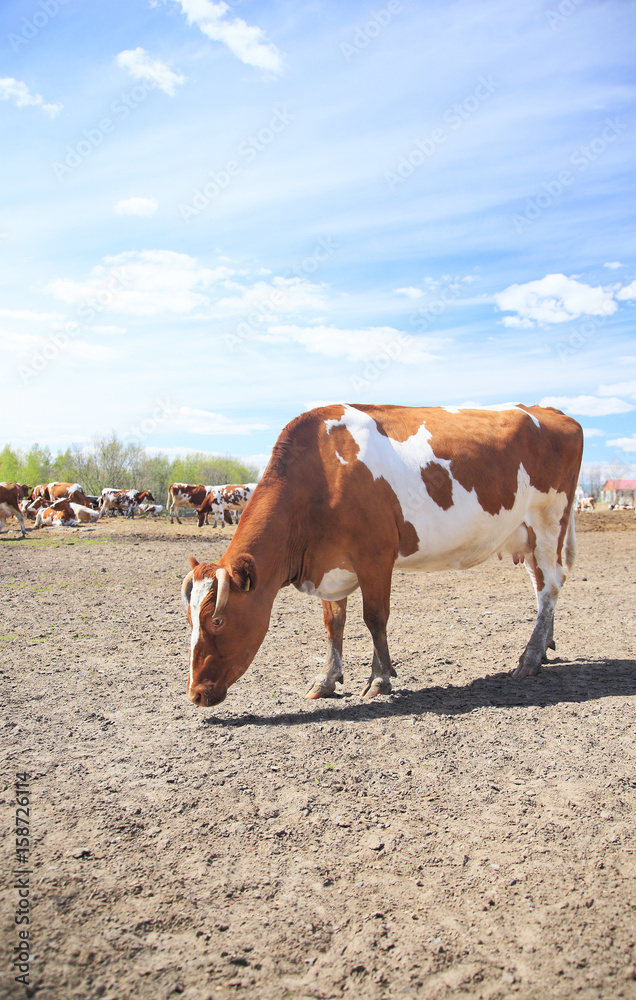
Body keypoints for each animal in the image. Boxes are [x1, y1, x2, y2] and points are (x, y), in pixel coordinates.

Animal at [181, 402, 584, 708]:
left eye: (217, 620)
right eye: (189, 621)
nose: (195, 694)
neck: (322, 474)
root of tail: (548, 410)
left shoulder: (375, 556)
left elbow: (375, 618)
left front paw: (380, 678)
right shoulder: (331, 563)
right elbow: (334, 624)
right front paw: (327, 679)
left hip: (550, 520)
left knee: (550, 586)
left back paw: (529, 658)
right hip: (526, 535)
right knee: (541, 588)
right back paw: (544, 648)